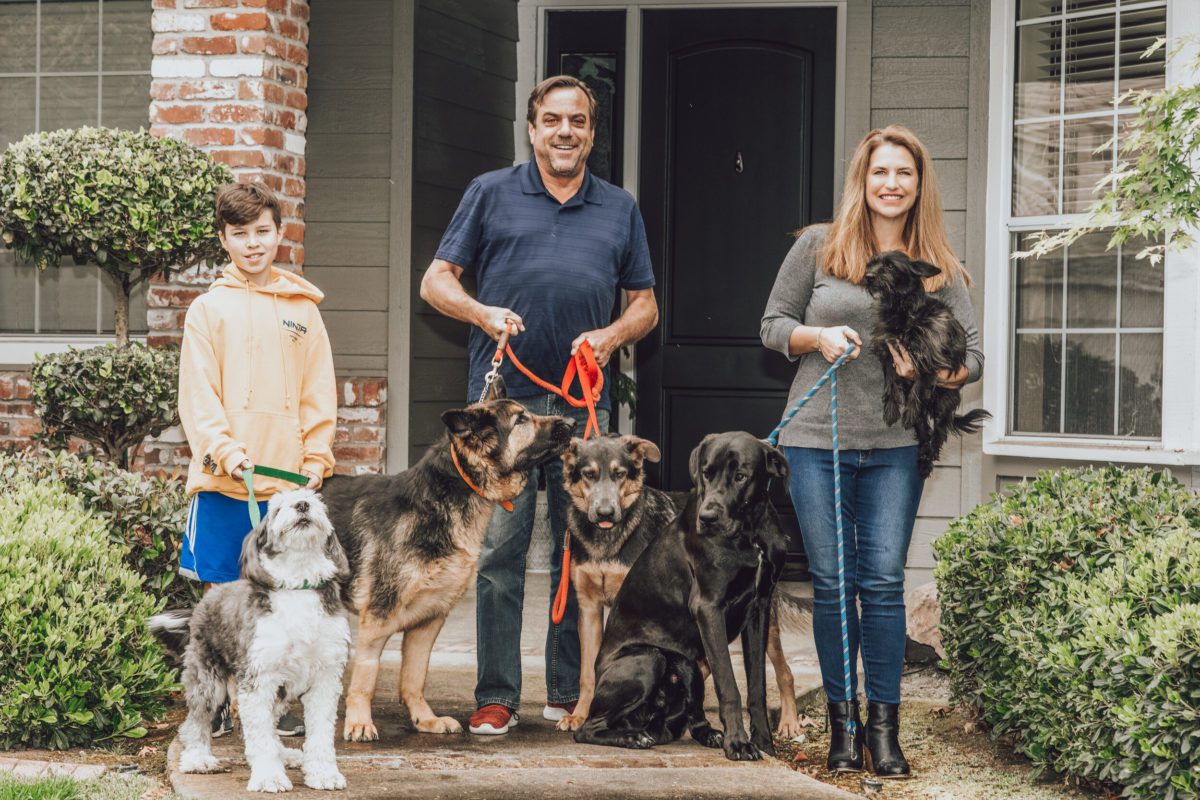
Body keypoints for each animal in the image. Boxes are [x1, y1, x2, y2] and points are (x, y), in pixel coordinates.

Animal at [150, 491, 350, 791]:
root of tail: (201, 605)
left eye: (316, 502)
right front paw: (269, 777)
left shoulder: (325, 677)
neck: (297, 584)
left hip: (281, 690)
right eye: (278, 508)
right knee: (195, 721)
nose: (302, 505)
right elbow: (260, 737)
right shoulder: (258, 677)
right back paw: (198, 759)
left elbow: (321, 735)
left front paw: (324, 773)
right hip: (208, 679)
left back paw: (286, 755)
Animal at [321, 379, 573, 743]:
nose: (573, 423)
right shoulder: (377, 620)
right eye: (521, 420)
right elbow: (365, 678)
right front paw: (359, 723)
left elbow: (414, 678)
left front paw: (425, 720)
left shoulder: (428, 622)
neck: (449, 493)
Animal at [556, 434, 811, 734]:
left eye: (620, 474)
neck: (607, 539)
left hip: (761, 620)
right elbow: (587, 673)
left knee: (784, 671)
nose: (605, 513)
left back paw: (789, 720)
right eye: (588, 474)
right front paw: (581, 714)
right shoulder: (589, 608)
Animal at [868, 250, 988, 474]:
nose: (868, 276)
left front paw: (909, 411)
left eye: (890, 266)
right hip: (926, 418)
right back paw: (923, 459)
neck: (901, 309)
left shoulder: (928, 358)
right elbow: (890, 383)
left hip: (943, 405)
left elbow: (918, 386)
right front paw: (891, 410)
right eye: (870, 264)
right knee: (925, 431)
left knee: (938, 434)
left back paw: (928, 457)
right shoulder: (888, 353)